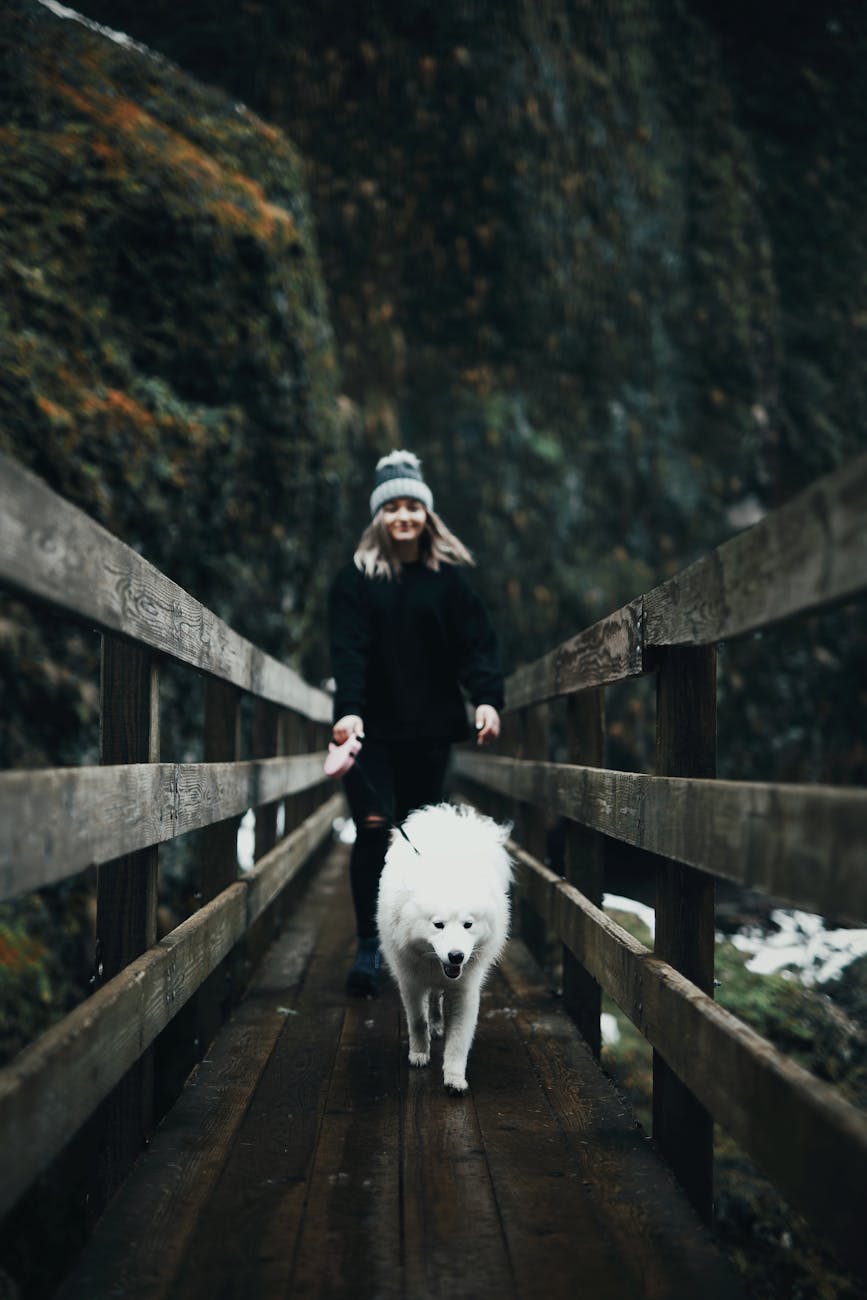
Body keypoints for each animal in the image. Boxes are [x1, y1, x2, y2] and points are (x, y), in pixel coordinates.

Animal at [376, 800, 512, 1097]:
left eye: (468, 924)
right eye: (438, 925)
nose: (456, 956)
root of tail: (448, 815)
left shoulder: (464, 991)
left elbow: (459, 1040)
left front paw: (454, 1078)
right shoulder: (411, 982)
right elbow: (417, 1021)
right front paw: (419, 1053)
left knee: (438, 998)